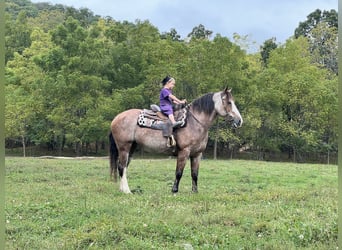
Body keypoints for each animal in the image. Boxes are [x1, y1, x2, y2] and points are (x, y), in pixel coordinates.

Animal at [109, 88, 243, 193]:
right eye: (229, 102)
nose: (239, 120)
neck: (195, 122)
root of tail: (116, 118)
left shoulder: (197, 154)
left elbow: (195, 174)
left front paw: (195, 191)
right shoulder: (184, 152)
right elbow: (179, 172)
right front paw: (174, 190)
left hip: (132, 147)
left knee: (124, 167)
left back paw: (122, 189)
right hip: (124, 147)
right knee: (121, 167)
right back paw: (127, 191)